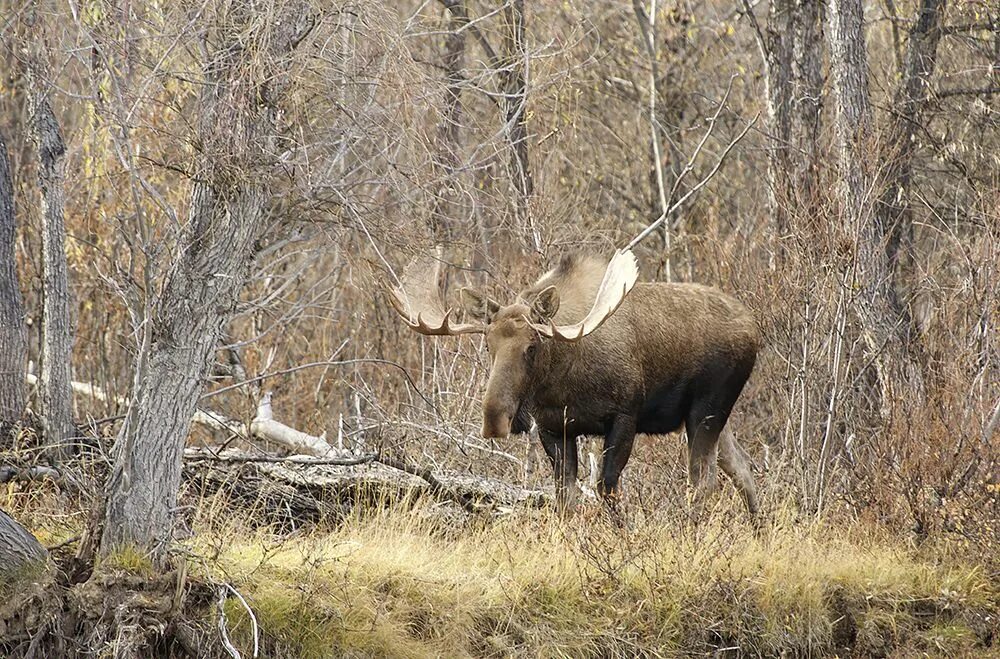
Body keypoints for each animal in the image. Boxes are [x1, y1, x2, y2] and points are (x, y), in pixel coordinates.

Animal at [386, 246, 760, 516]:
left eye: (532, 346)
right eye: (488, 344)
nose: (495, 420)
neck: (563, 381)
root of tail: (754, 326)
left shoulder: (625, 416)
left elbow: (607, 488)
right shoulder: (554, 428)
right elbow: (565, 497)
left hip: (708, 408)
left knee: (703, 481)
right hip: (711, 417)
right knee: (742, 470)